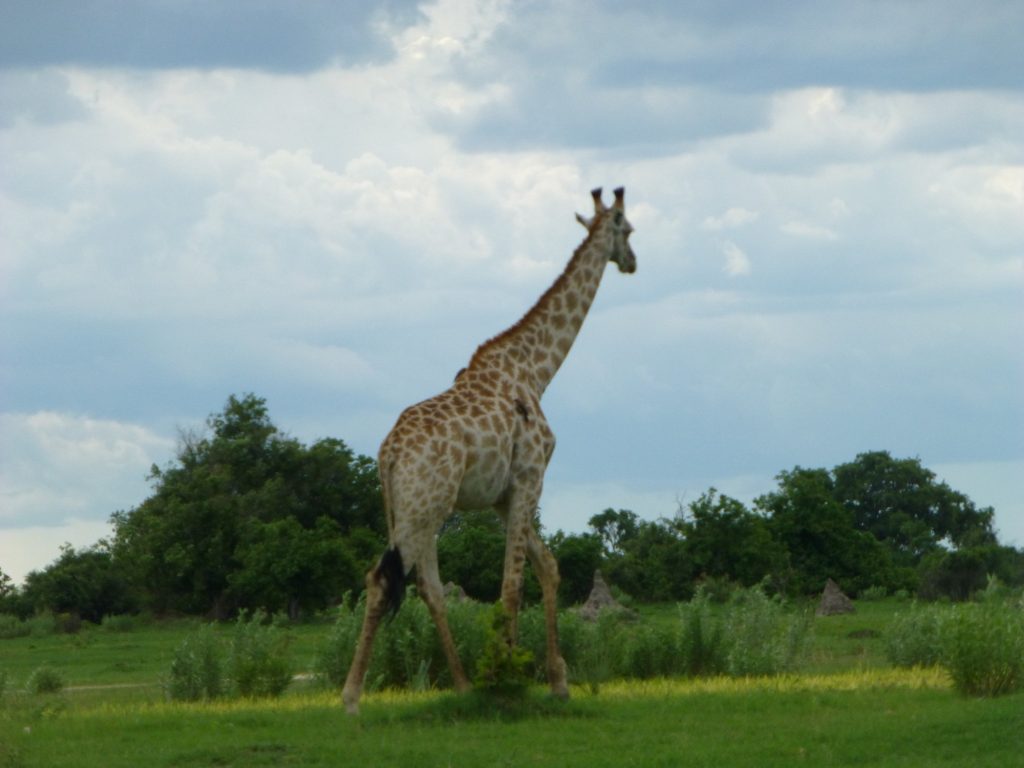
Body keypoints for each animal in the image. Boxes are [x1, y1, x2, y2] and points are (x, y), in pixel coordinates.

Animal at [342, 187, 637, 714]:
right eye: (630, 230)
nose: (632, 262)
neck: (536, 370)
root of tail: (387, 453)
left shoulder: (503, 496)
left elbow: (547, 568)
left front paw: (553, 680)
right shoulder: (530, 479)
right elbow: (512, 585)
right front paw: (506, 675)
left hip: (408, 509)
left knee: (427, 585)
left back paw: (461, 686)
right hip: (424, 507)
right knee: (384, 580)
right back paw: (353, 697)